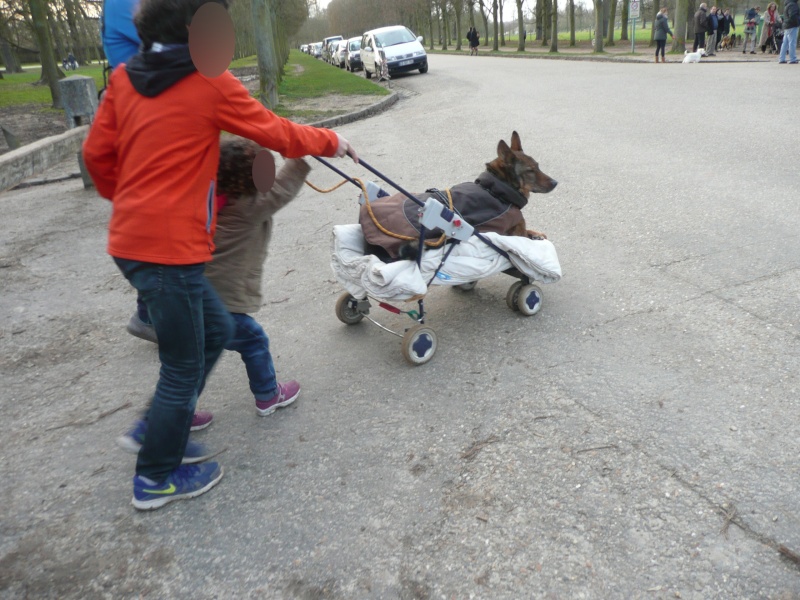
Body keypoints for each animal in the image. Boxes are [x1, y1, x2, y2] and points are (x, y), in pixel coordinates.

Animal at [360, 131, 556, 260]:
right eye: (530, 171)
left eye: (538, 166)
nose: (555, 182)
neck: (495, 189)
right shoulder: (516, 233)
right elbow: (525, 236)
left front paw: (537, 233)